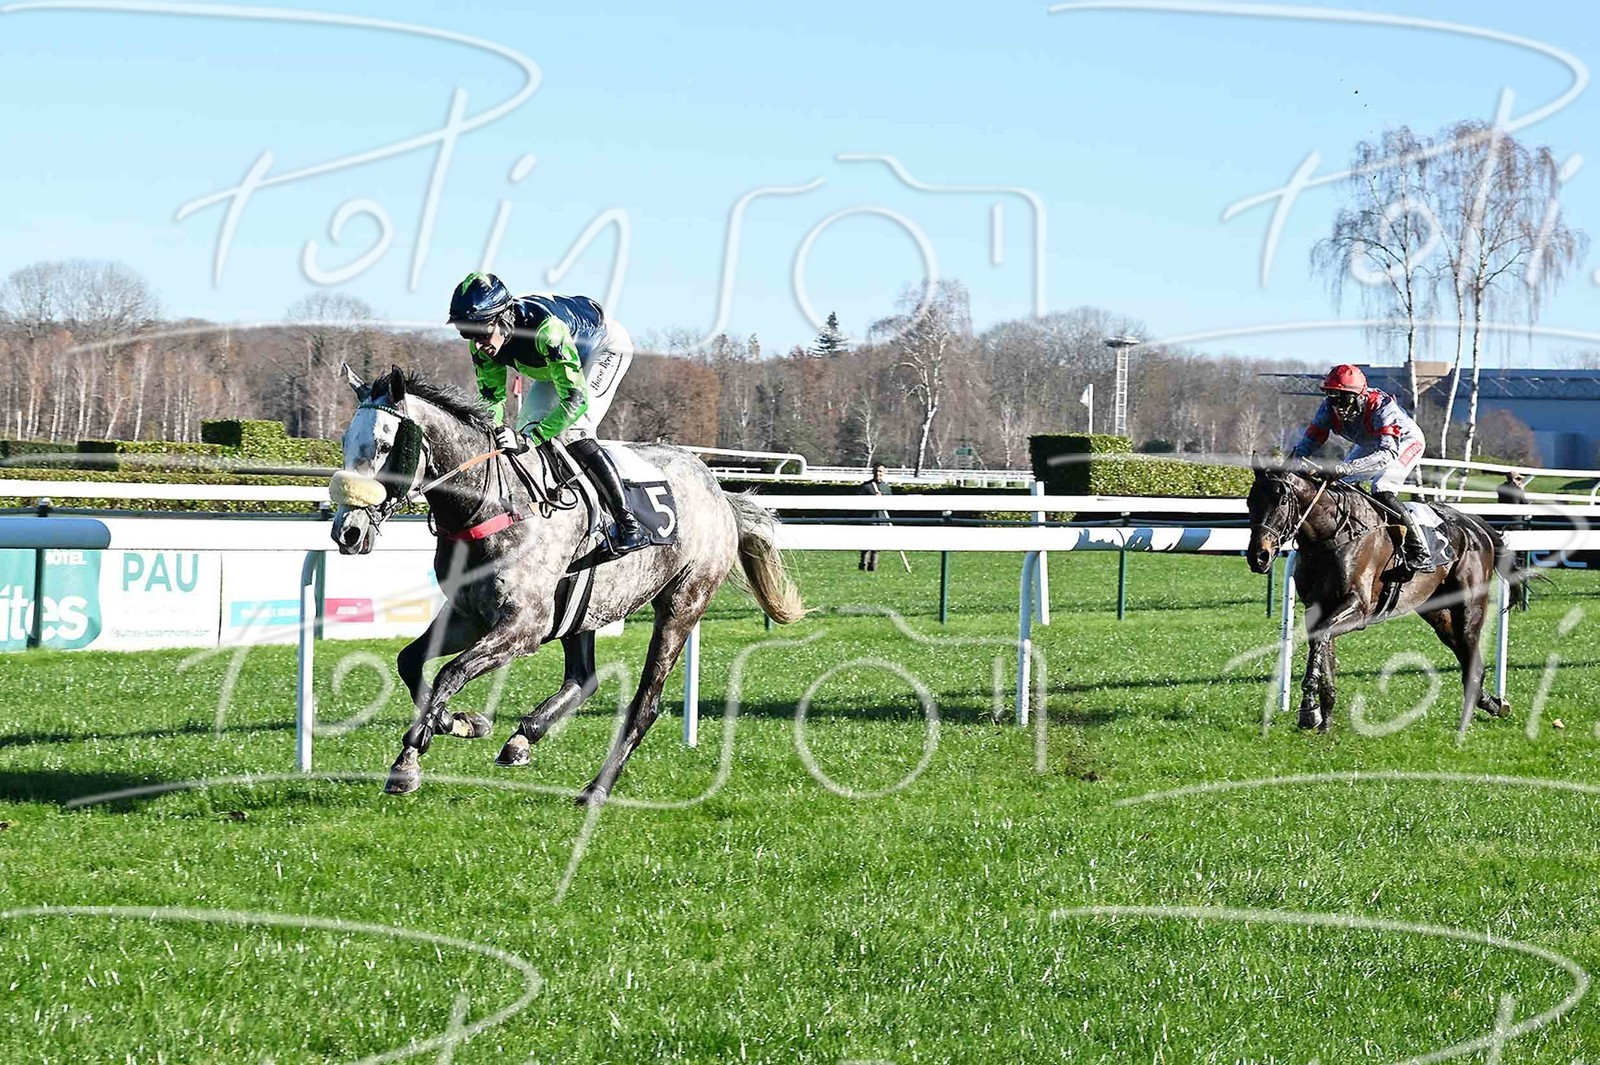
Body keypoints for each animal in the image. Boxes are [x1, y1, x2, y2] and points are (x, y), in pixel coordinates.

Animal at [328, 365, 806, 803]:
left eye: (386, 445)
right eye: (346, 442)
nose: (347, 532)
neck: (493, 504)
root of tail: (718, 491)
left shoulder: (524, 626)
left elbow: (451, 671)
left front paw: (411, 757)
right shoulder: (469, 615)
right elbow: (410, 662)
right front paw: (456, 724)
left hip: (683, 603)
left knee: (645, 704)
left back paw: (597, 788)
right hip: (586, 607)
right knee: (584, 678)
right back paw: (524, 737)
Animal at [1245, 465, 1510, 731]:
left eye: (1282, 500)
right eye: (1249, 501)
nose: (1258, 556)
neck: (1333, 534)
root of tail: (1475, 525)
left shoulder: (1357, 607)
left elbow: (1321, 639)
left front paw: (1309, 709)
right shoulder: (1318, 608)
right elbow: (1322, 646)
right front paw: (1324, 721)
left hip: (1469, 607)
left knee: (1472, 661)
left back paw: (1465, 724)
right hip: (1437, 612)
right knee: (1463, 653)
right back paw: (1495, 704)